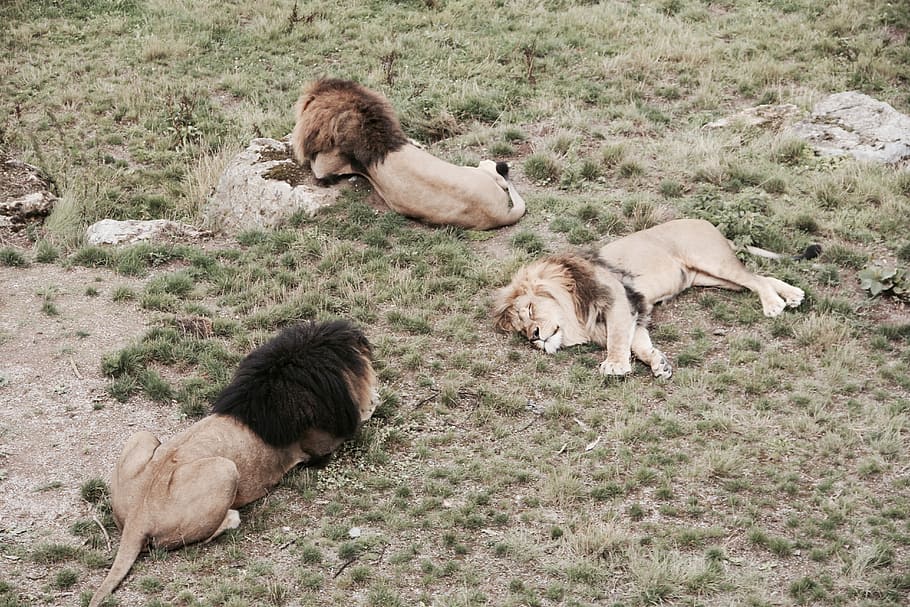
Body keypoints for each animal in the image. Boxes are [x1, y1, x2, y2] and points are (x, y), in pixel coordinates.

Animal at [88, 320, 378, 607]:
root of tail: (137, 518)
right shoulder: (320, 446)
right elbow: (361, 419)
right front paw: (374, 400)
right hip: (225, 469)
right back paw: (232, 517)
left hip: (143, 436)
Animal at [493, 218, 818, 379]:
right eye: (521, 331)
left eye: (531, 309)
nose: (535, 336)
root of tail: (708, 222)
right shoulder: (633, 313)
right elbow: (638, 344)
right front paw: (658, 363)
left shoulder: (618, 300)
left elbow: (617, 339)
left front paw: (614, 365)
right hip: (709, 277)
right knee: (757, 277)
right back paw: (793, 295)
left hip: (711, 261)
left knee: (754, 279)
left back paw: (774, 304)